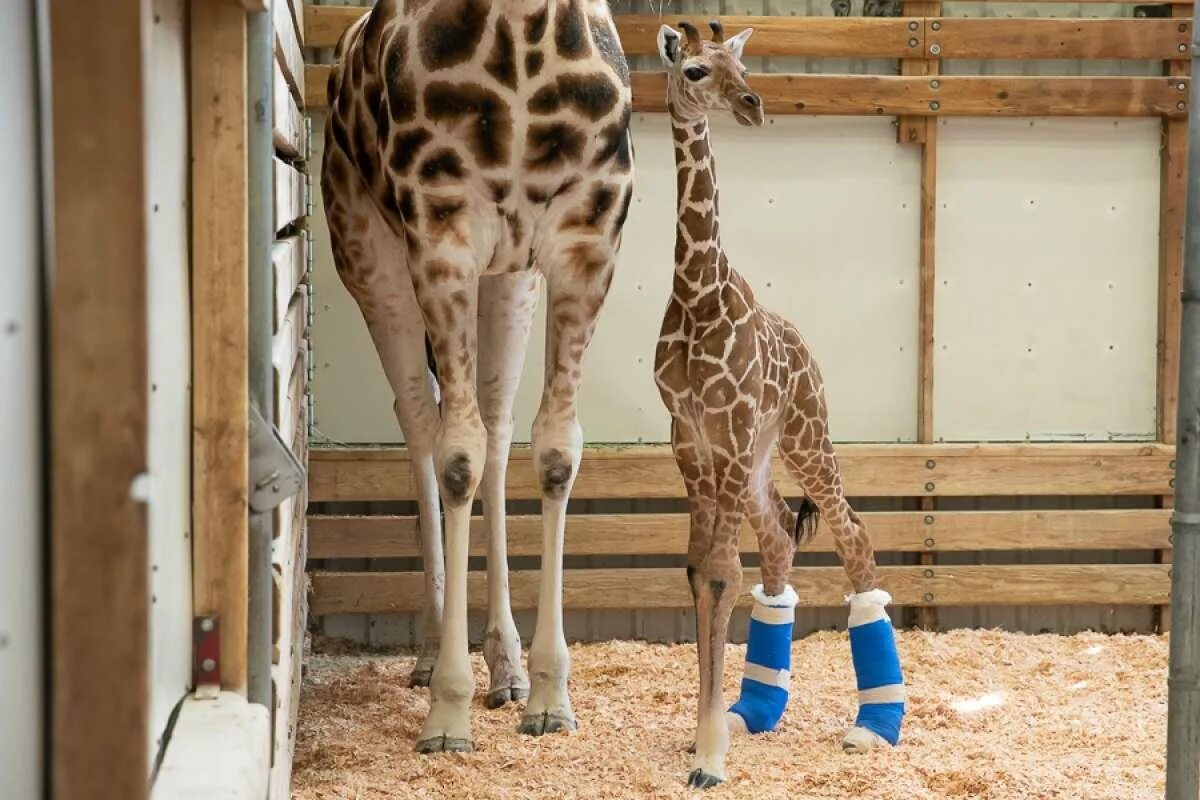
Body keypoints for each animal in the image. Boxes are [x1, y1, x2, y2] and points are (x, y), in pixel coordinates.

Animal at [319, 0, 638, 753]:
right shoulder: (442, 239)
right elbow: (454, 458)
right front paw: (447, 712)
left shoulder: (585, 242)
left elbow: (554, 452)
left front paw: (548, 695)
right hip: (369, 259)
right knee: (419, 423)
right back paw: (432, 651)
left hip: (511, 277)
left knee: (494, 424)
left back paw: (507, 667)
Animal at [657, 21, 907, 791]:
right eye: (696, 70)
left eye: (743, 66)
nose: (752, 104)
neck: (698, 295)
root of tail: (809, 354)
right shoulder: (688, 435)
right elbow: (700, 570)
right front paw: (706, 735)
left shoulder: (730, 428)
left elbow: (720, 572)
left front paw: (709, 758)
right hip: (763, 459)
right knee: (776, 543)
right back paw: (757, 709)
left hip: (803, 435)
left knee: (853, 533)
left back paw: (875, 723)